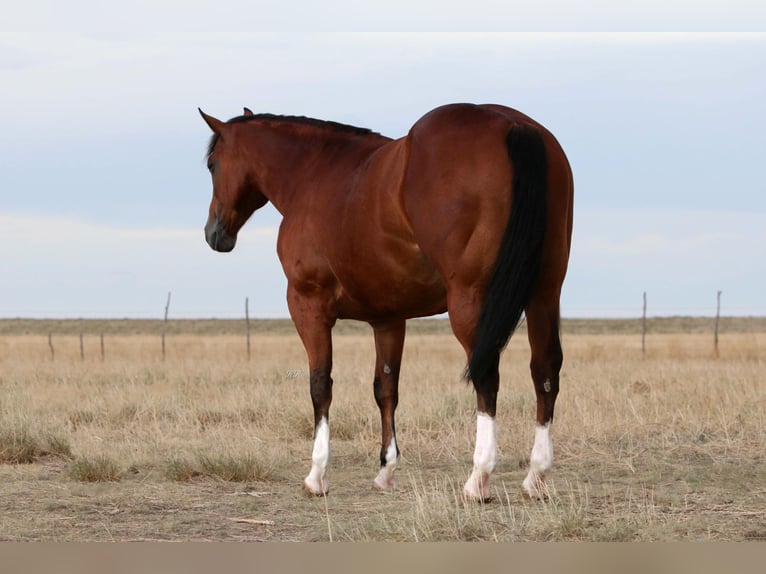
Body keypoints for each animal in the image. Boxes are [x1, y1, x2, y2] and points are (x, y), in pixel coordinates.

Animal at [201, 104, 572, 504]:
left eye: (212, 164)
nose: (214, 233)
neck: (314, 176)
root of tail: (514, 125)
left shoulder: (308, 305)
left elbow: (320, 385)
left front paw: (317, 475)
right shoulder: (389, 319)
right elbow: (386, 388)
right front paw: (386, 471)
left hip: (471, 301)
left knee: (486, 375)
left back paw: (479, 478)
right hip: (544, 294)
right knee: (545, 371)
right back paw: (536, 477)